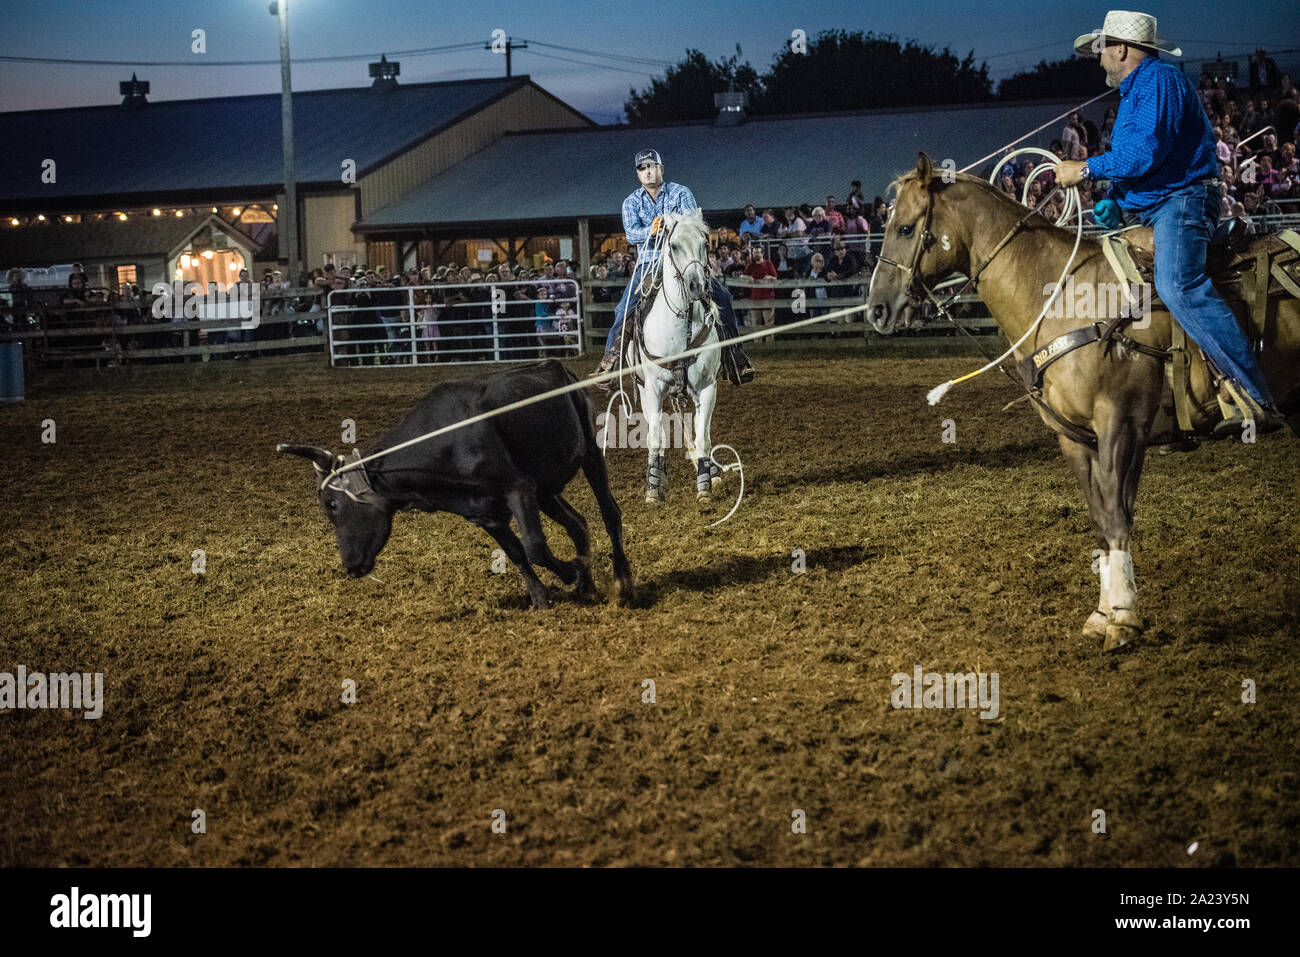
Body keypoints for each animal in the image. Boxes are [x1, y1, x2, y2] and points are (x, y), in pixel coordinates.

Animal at [616, 205, 728, 504]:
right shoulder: (654, 389)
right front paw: (654, 489)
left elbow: (703, 437)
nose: (697, 286)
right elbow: (657, 438)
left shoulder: (707, 388)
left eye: (705, 244)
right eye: (674, 245)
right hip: (644, 389)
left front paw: (705, 484)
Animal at [868, 153, 1294, 655]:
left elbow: (1116, 516)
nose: (876, 309)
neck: (1062, 295)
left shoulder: (1121, 422)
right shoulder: (1073, 437)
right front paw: (1102, 613)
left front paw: (1124, 618)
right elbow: (1099, 519)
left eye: (906, 228)